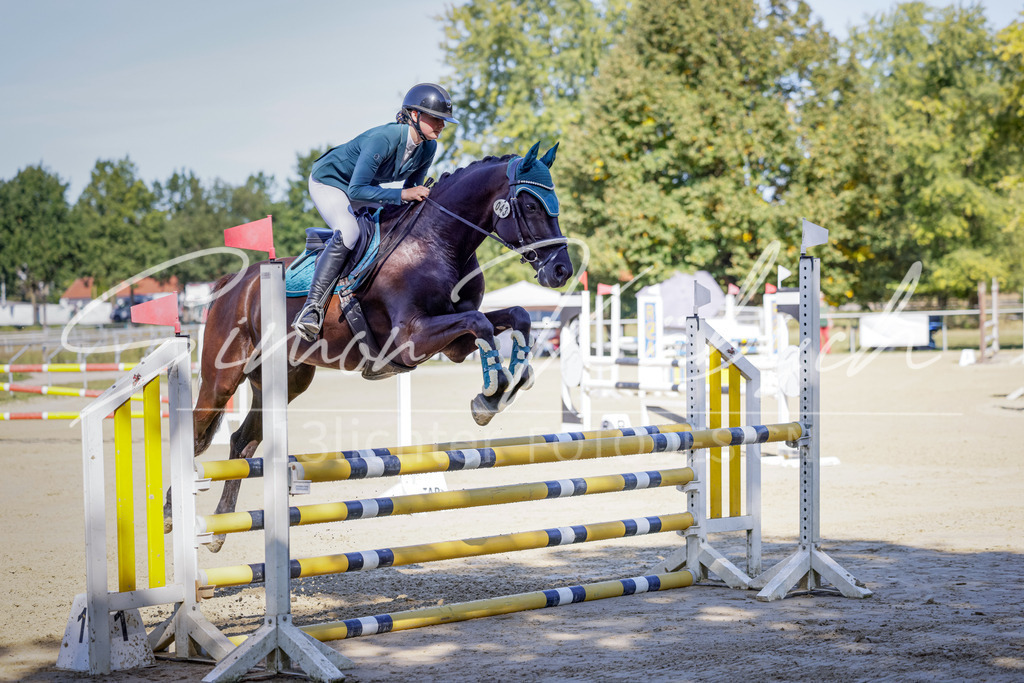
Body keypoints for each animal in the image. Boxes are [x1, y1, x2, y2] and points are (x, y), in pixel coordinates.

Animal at [176, 142, 574, 552]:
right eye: (530, 206)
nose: (562, 270)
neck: (437, 243)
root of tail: (229, 283)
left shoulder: (454, 345)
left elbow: (515, 316)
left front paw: (505, 388)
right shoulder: (412, 338)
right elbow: (481, 323)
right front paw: (490, 397)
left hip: (285, 381)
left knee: (242, 441)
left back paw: (219, 529)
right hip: (222, 377)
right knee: (196, 434)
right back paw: (171, 517)